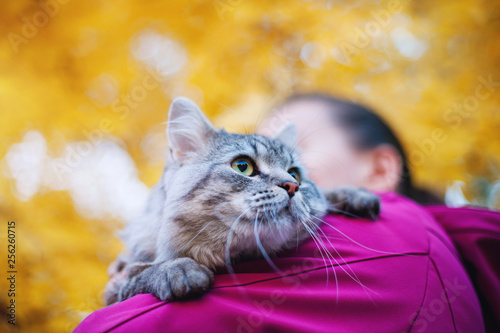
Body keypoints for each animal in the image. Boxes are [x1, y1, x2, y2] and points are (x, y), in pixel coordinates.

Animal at [104, 96, 378, 304]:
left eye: (294, 174)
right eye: (243, 166)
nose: (292, 186)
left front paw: (354, 195)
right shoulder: (116, 283)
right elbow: (139, 272)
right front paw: (176, 269)